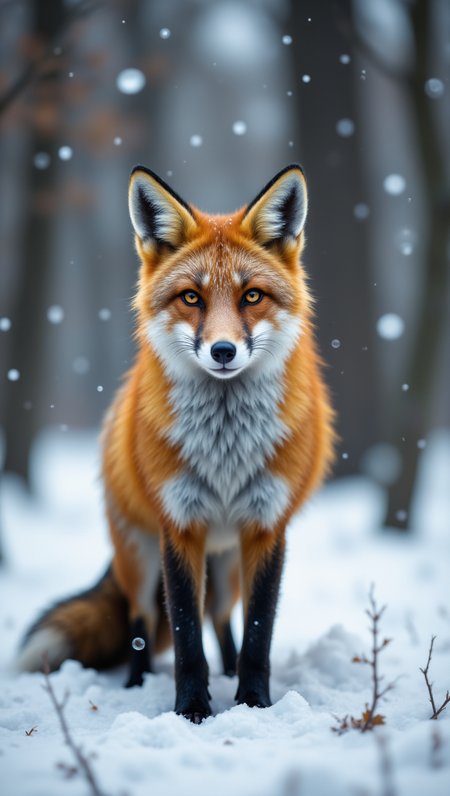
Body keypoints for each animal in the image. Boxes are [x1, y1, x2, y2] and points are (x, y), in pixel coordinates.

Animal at [17, 164, 335, 722]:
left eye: (252, 296)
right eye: (192, 297)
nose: (224, 350)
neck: (226, 448)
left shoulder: (266, 526)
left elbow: (257, 634)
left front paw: (252, 703)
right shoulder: (179, 525)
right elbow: (186, 635)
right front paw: (192, 711)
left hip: (226, 566)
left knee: (223, 619)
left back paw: (227, 674)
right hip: (140, 559)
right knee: (143, 622)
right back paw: (137, 683)